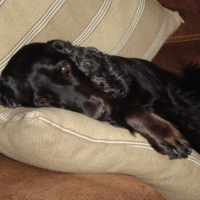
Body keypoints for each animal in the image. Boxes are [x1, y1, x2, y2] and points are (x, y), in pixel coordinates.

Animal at [0, 39, 200, 159]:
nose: (100, 112)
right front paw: (165, 137)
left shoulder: (171, 104)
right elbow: (132, 110)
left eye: (64, 68)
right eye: (42, 100)